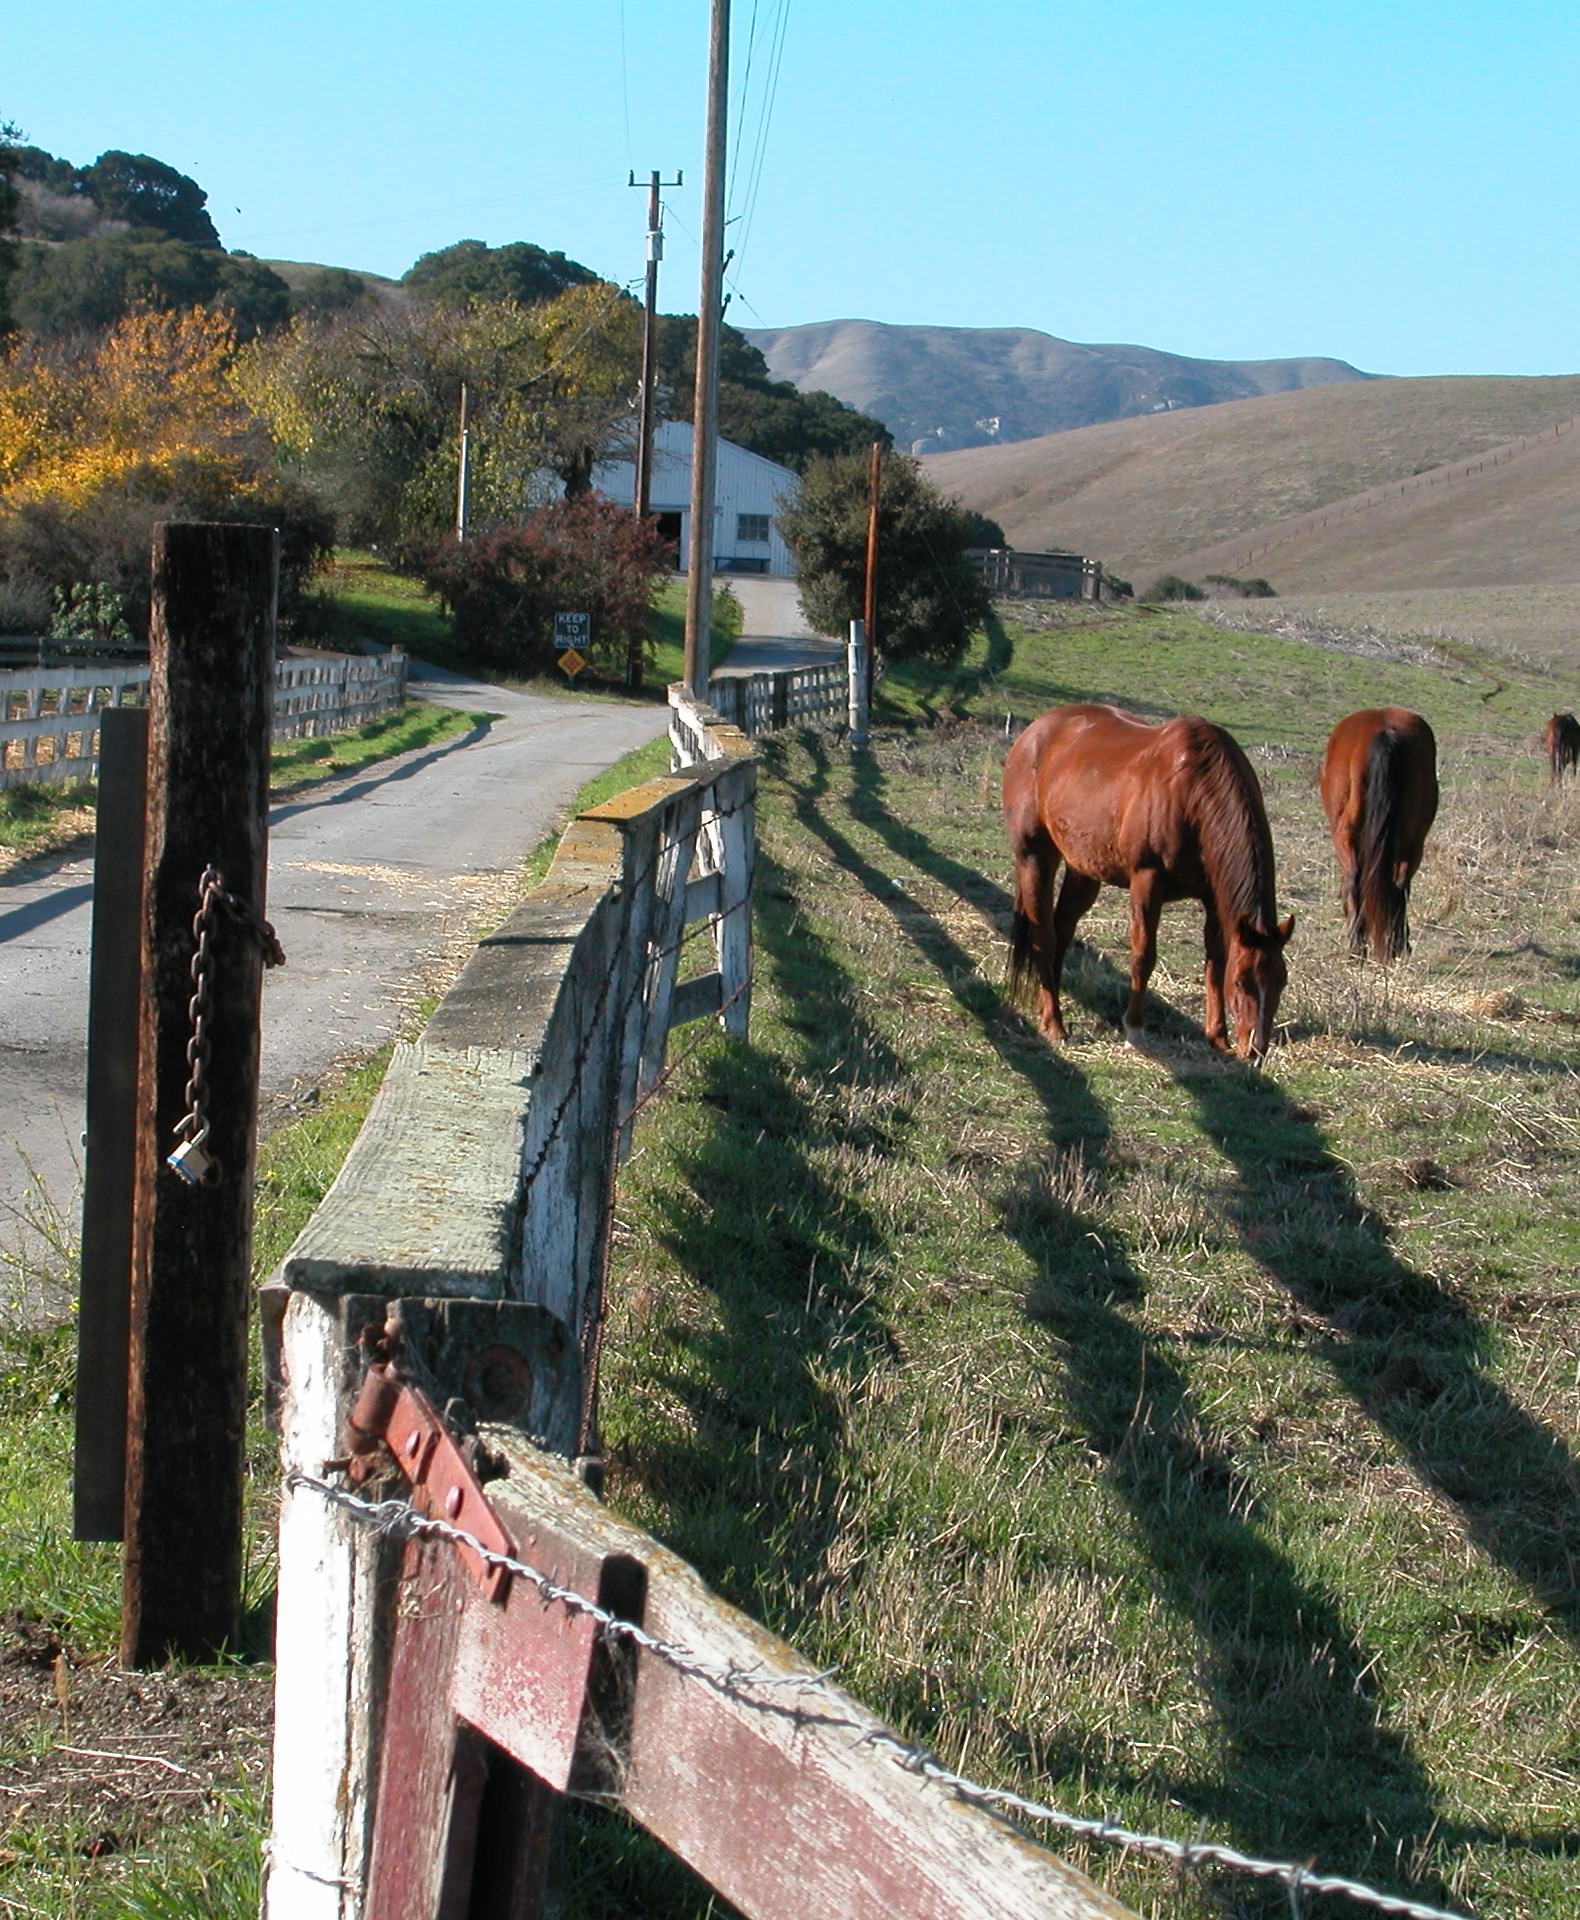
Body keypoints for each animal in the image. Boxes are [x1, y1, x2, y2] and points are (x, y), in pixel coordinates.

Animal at [1003, 703, 1294, 1061]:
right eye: (1241, 982)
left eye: (1280, 981)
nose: (1255, 1050)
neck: (1192, 791)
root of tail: (1033, 733)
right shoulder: (1146, 882)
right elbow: (1143, 956)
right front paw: (1134, 1028)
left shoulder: (1214, 898)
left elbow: (1215, 962)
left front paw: (1217, 1037)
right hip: (1034, 857)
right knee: (1044, 935)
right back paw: (1055, 1025)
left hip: (1082, 869)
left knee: (1062, 930)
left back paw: (1050, 1013)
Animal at [1318, 707, 1438, 964]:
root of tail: (1385, 732)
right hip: (1412, 841)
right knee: (1400, 884)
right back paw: (1395, 945)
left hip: (1345, 834)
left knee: (1353, 879)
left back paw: (1357, 949)